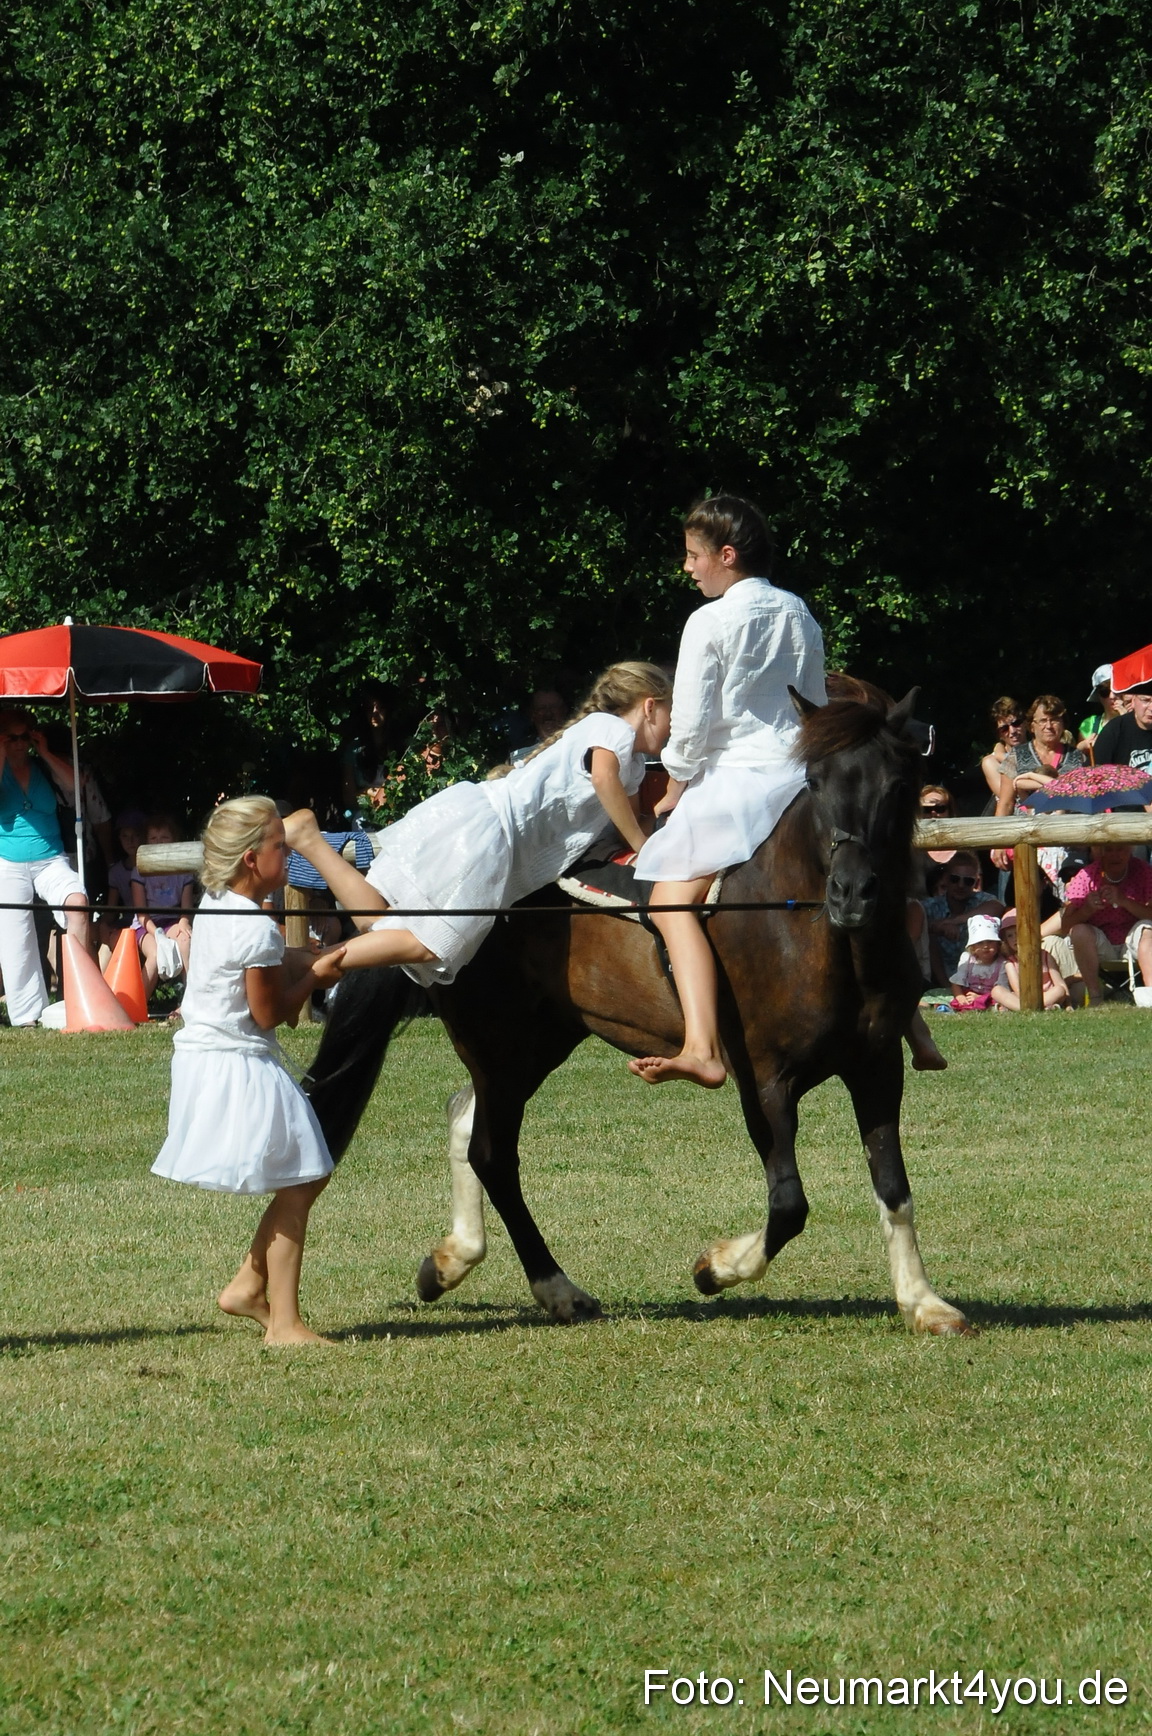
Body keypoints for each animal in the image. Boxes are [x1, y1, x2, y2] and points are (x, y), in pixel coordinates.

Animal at [303, 684, 970, 1336]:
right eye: (814, 781)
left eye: (899, 785)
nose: (852, 893)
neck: (809, 930)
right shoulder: (765, 1079)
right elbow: (789, 1204)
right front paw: (715, 1267)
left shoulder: (877, 1067)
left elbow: (894, 1188)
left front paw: (923, 1302)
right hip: (498, 1042)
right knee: (492, 1154)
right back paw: (556, 1289)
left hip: (537, 1040)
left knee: (466, 1117)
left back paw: (453, 1262)